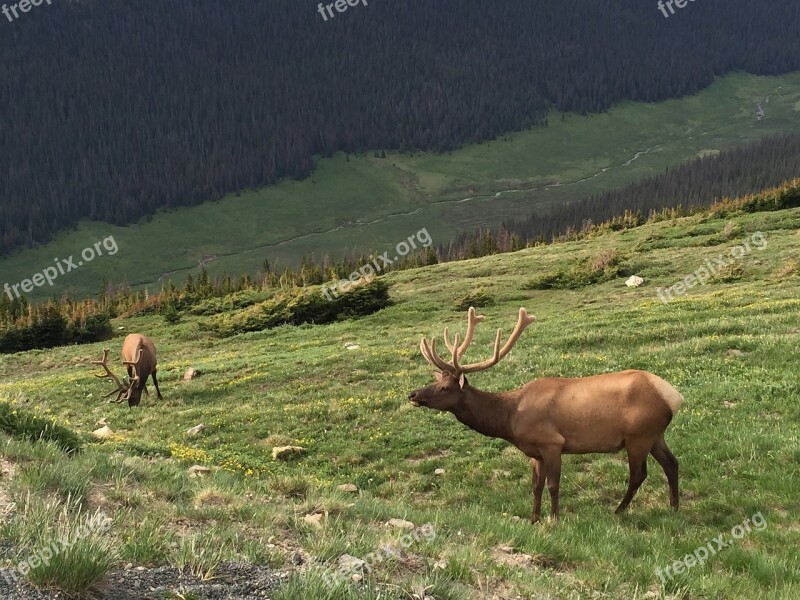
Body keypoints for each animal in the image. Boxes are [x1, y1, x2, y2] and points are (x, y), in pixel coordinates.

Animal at [410, 308, 684, 524]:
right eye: (435, 381)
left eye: (445, 388)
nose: (413, 394)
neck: (509, 419)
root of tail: (673, 396)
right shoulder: (535, 451)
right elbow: (535, 486)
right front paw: (533, 518)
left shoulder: (552, 442)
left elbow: (553, 485)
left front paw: (554, 519)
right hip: (655, 435)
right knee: (672, 463)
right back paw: (674, 507)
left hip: (639, 436)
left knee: (638, 474)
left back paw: (618, 510)